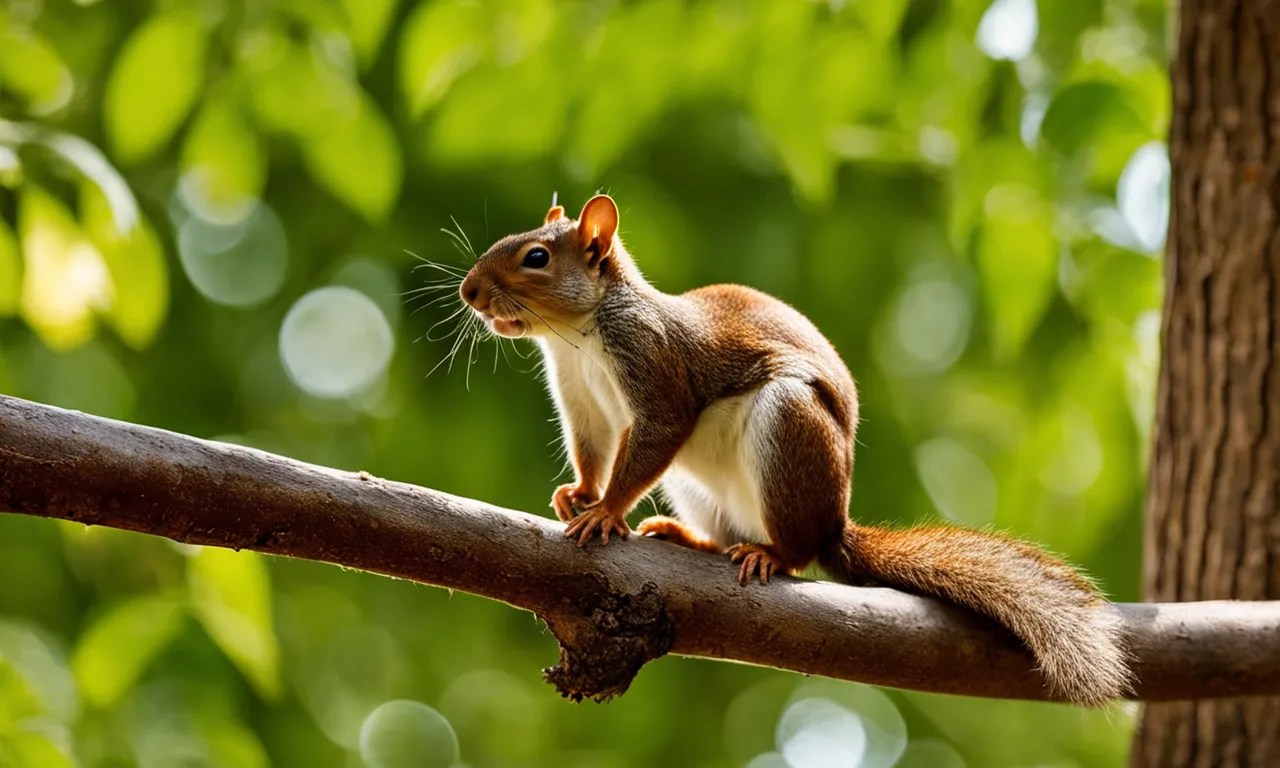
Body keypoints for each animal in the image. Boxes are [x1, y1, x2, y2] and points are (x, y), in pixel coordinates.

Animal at [458, 194, 1130, 706]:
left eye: (537, 257)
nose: (468, 291)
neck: (576, 336)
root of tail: (834, 520)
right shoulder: (581, 400)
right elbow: (592, 449)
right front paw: (579, 495)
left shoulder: (654, 366)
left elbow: (652, 439)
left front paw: (603, 512)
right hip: (699, 488)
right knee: (723, 534)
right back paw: (690, 539)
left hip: (788, 429)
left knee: (798, 550)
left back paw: (772, 555)